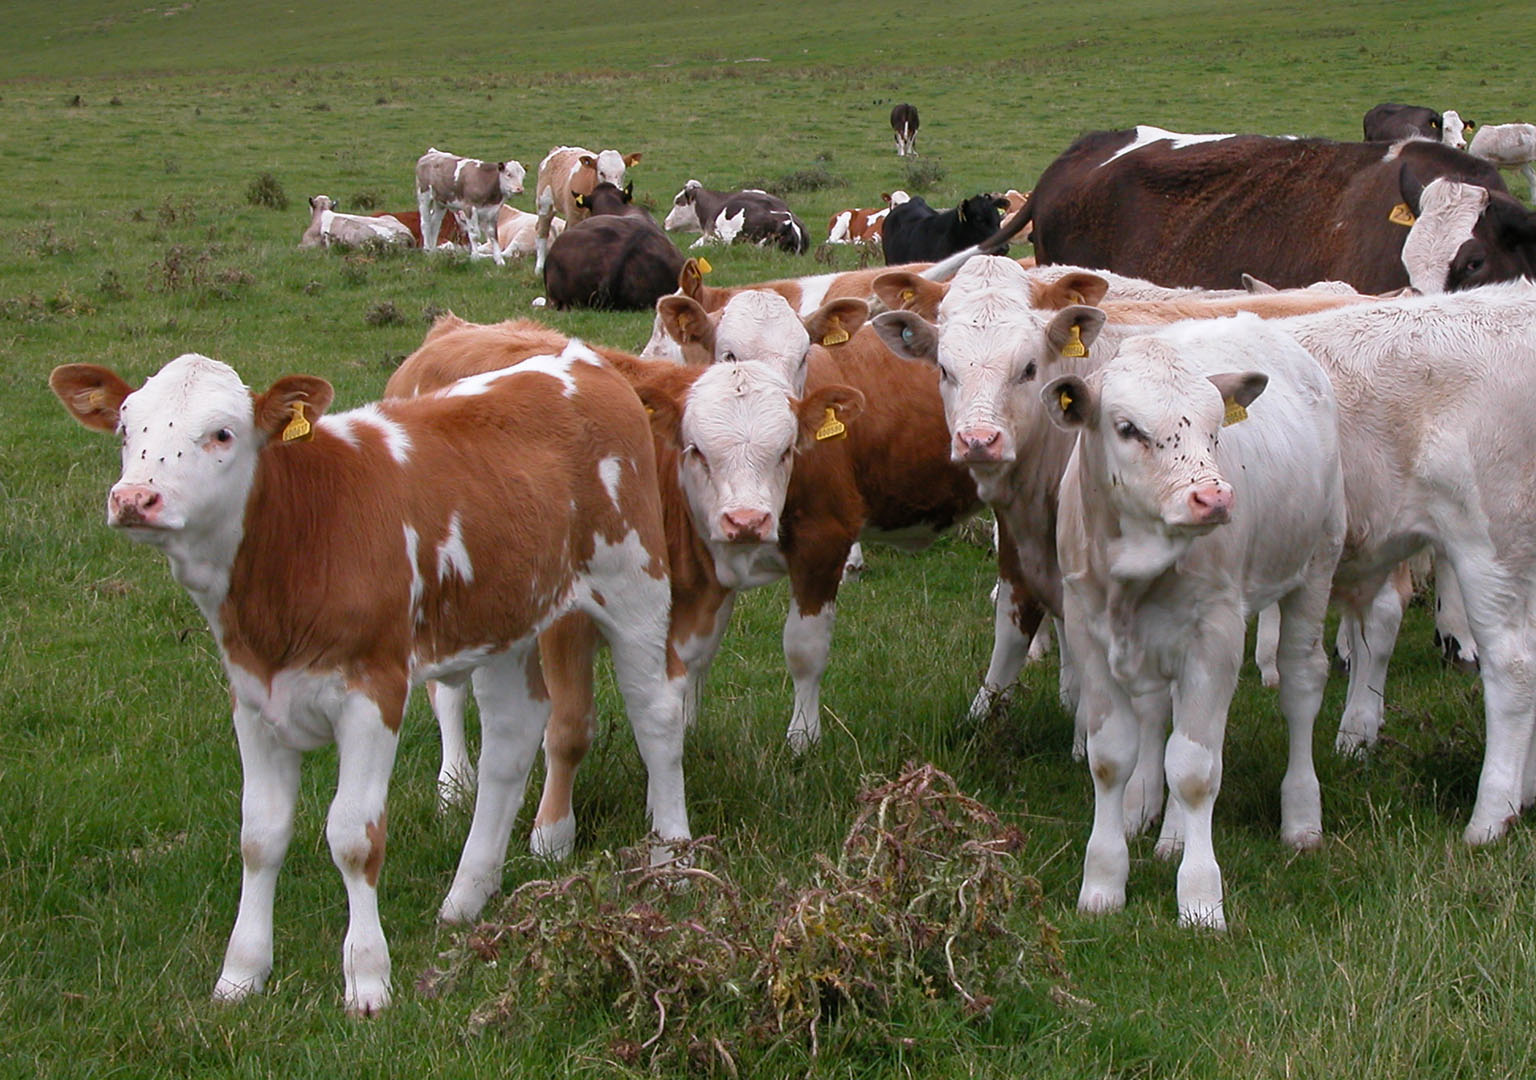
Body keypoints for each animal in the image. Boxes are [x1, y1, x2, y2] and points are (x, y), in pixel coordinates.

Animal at [52, 344, 691, 1013]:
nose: (134, 498)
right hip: (505, 613)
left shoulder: (372, 690)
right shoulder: (253, 700)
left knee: (656, 713)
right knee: (512, 739)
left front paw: (366, 976)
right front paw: (241, 973)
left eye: (221, 433)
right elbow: (259, 836)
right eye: (127, 431)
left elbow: (353, 837)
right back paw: (468, 893)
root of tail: (581, 358)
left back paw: (671, 862)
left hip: (634, 581)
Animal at [534, 145, 642, 274]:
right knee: (542, 232)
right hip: (545, 205)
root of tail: (557, 149)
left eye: (623, 173)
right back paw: (539, 268)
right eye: (602, 173)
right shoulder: (575, 215)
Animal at [1044, 314, 1345, 927]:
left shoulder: (1216, 635)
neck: (1134, 569)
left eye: (1214, 430)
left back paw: (1301, 816)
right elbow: (1112, 759)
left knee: (1301, 684)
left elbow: (1194, 770)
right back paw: (1153, 818)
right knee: (1164, 715)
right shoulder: (1088, 631)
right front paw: (1103, 881)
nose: (1214, 497)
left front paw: (1201, 899)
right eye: (1128, 427)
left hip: (1316, 565)